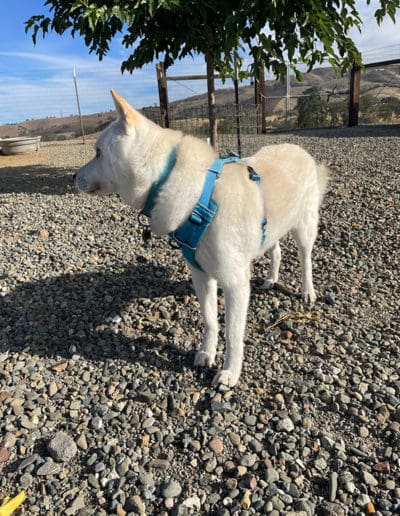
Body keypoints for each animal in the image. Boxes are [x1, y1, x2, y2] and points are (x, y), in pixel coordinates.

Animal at [75, 89, 328, 388]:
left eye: (98, 152)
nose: (74, 176)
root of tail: (300, 150)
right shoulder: (200, 274)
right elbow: (209, 320)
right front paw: (207, 353)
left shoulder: (235, 283)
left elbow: (233, 333)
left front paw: (230, 372)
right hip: (269, 231)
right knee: (275, 250)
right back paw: (270, 279)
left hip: (305, 227)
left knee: (305, 258)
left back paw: (308, 291)